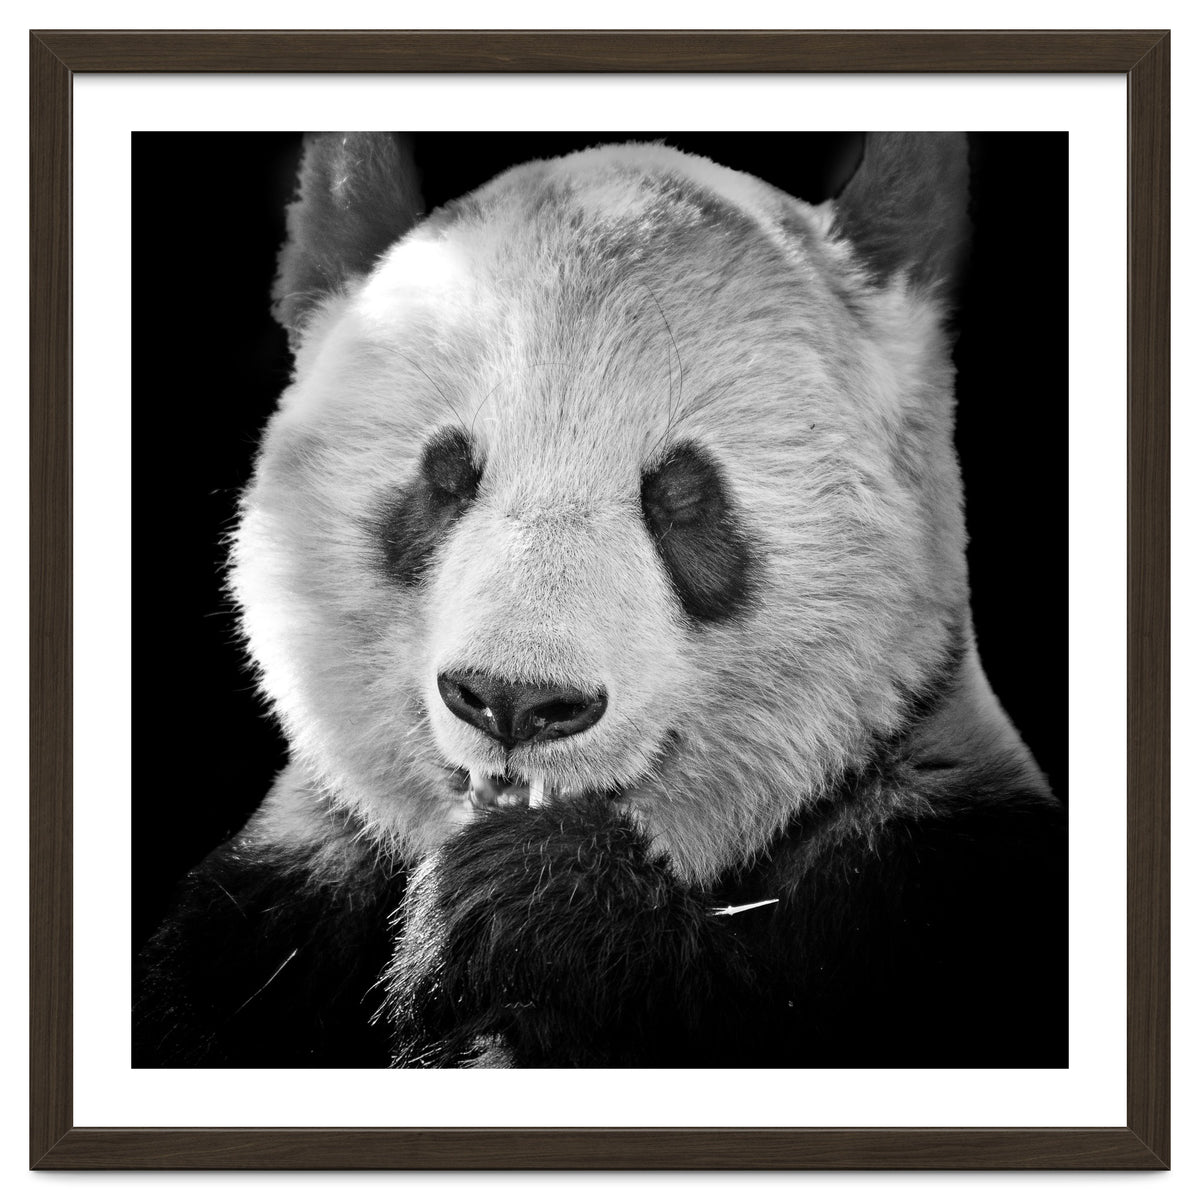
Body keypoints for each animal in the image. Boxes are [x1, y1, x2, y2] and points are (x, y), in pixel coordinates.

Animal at [134, 132, 1066, 1069]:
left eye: (683, 497)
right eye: (445, 477)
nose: (515, 701)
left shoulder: (933, 876)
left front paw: (532, 904)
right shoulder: (269, 912)